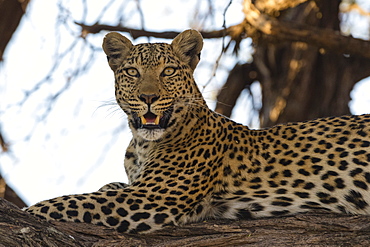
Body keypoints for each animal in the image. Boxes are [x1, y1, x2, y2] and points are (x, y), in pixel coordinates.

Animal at [25, 29, 370, 233]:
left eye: (168, 71)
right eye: (132, 72)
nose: (148, 97)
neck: (141, 144)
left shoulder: (151, 197)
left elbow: (69, 201)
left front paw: (29, 211)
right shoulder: (138, 187)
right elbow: (104, 188)